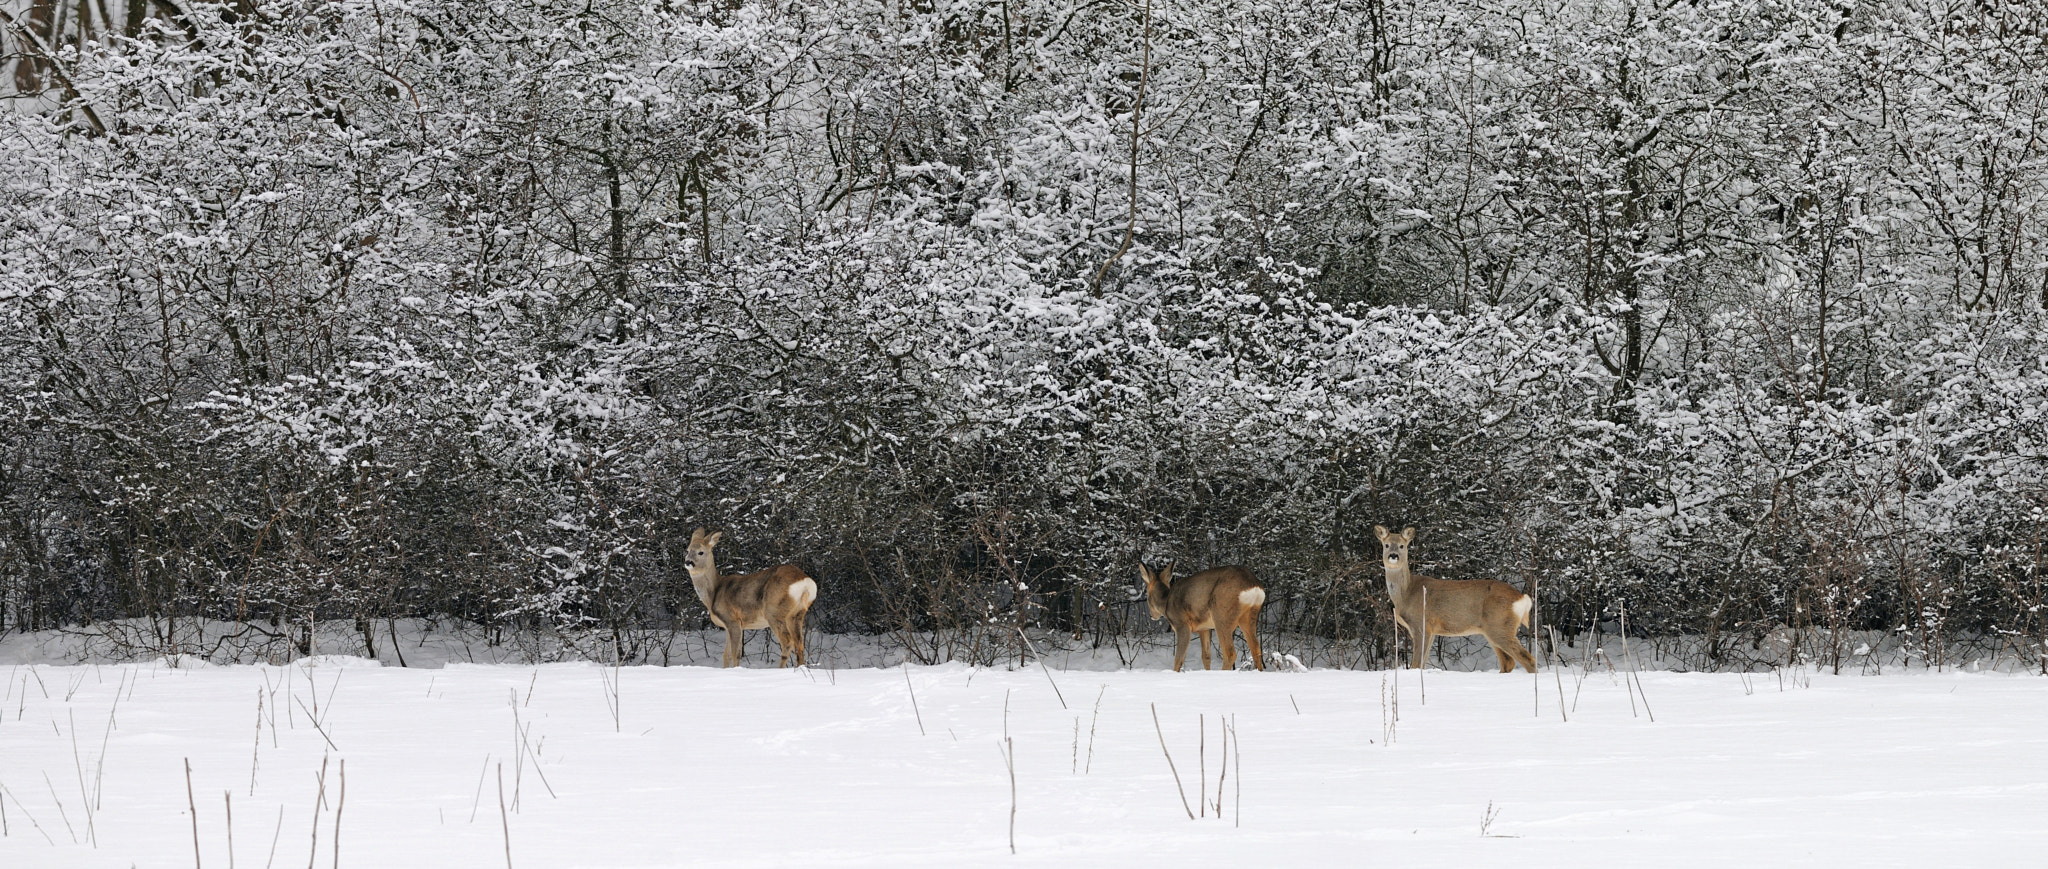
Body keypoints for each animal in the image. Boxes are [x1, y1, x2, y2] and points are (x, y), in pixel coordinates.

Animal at [684, 524, 819, 668]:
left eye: (701, 552)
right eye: (687, 550)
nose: (688, 562)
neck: (714, 593)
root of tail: (805, 582)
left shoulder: (732, 620)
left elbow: (735, 654)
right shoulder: (730, 625)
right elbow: (726, 655)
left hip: (774, 611)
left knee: (788, 642)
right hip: (797, 614)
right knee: (800, 644)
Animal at [1376, 524, 1540, 676]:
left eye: (1402, 545)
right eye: (1386, 545)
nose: (1393, 555)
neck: (1406, 594)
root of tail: (1522, 598)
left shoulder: (1421, 624)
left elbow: (1416, 664)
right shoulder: (1432, 630)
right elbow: (1422, 663)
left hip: (1500, 625)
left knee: (1528, 659)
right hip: (1492, 629)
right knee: (1508, 662)